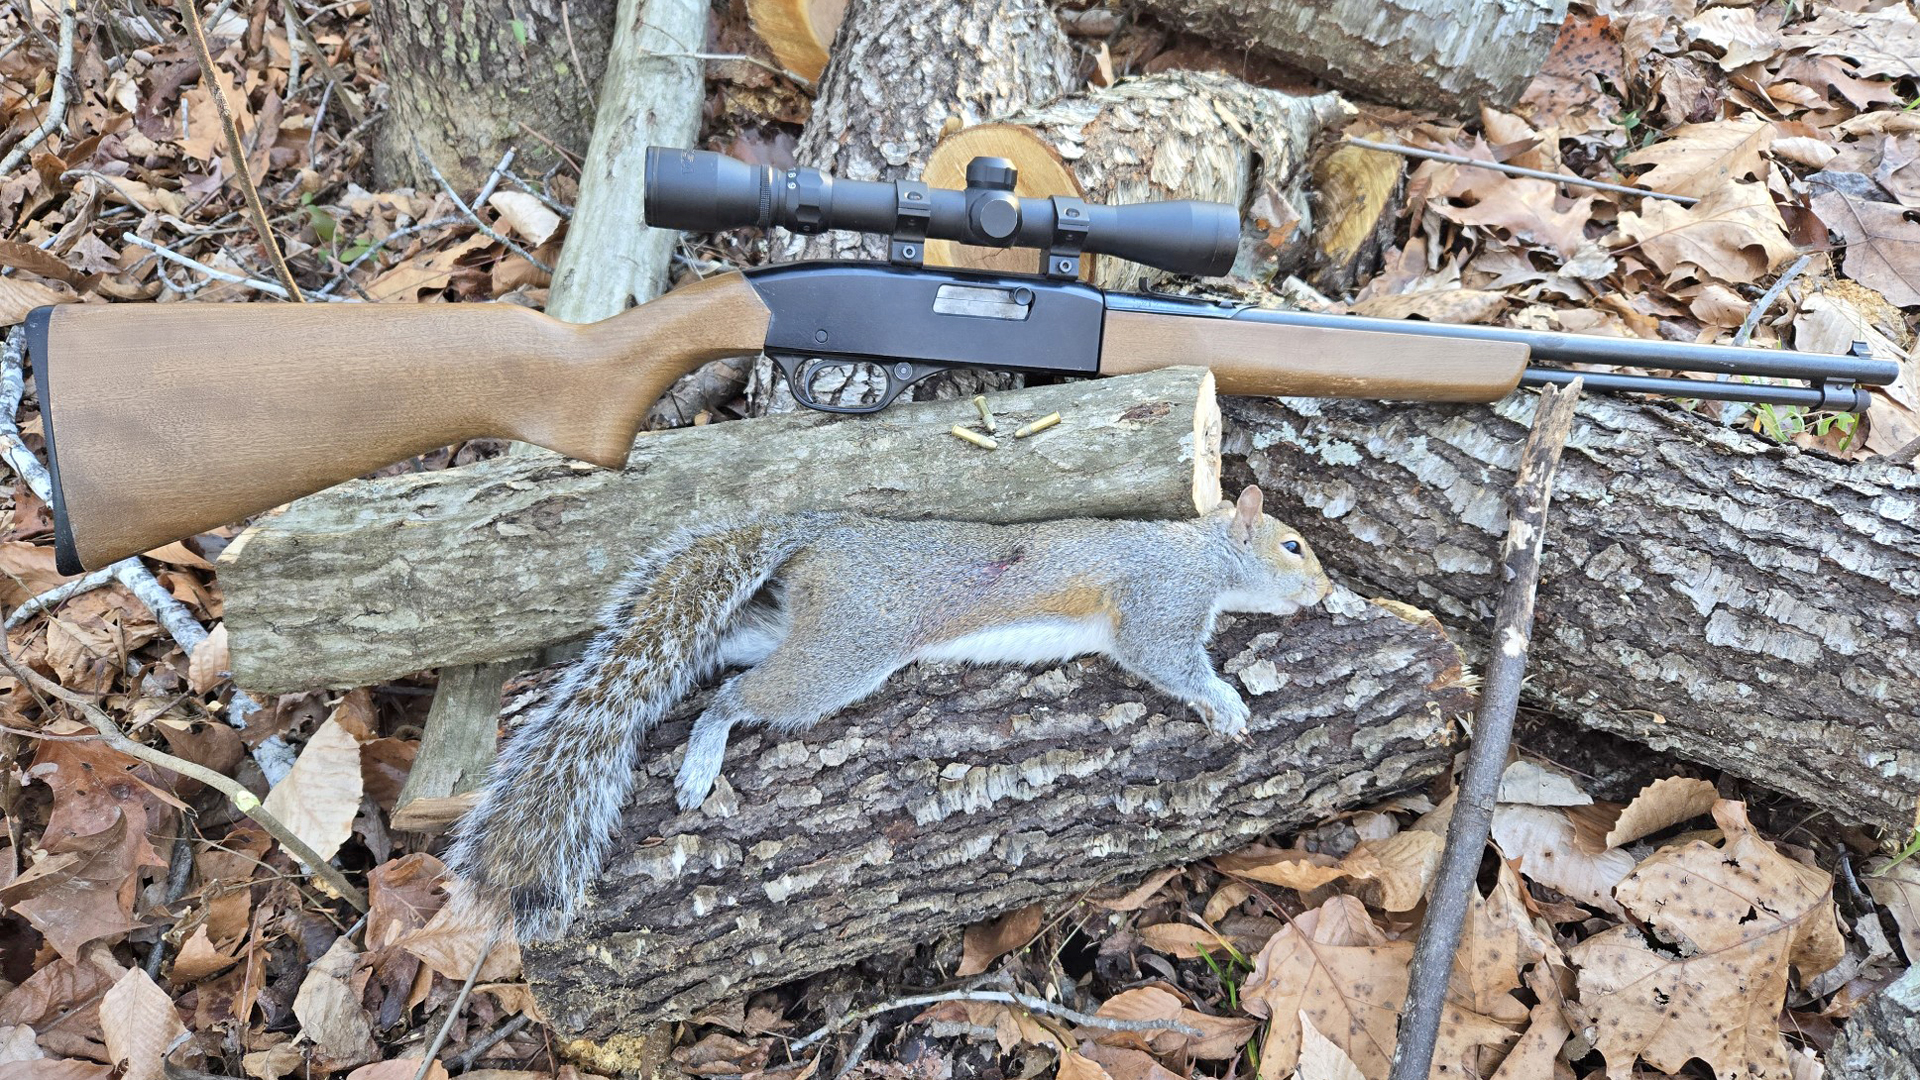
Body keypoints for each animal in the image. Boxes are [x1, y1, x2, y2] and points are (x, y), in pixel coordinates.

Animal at [445, 485, 1331, 940]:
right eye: (1291, 545)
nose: (1324, 590)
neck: (1202, 553)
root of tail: (824, 535)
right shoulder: (1158, 605)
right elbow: (1168, 660)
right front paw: (1225, 703)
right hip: (844, 653)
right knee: (733, 698)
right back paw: (700, 762)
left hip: (808, 627)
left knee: (726, 644)